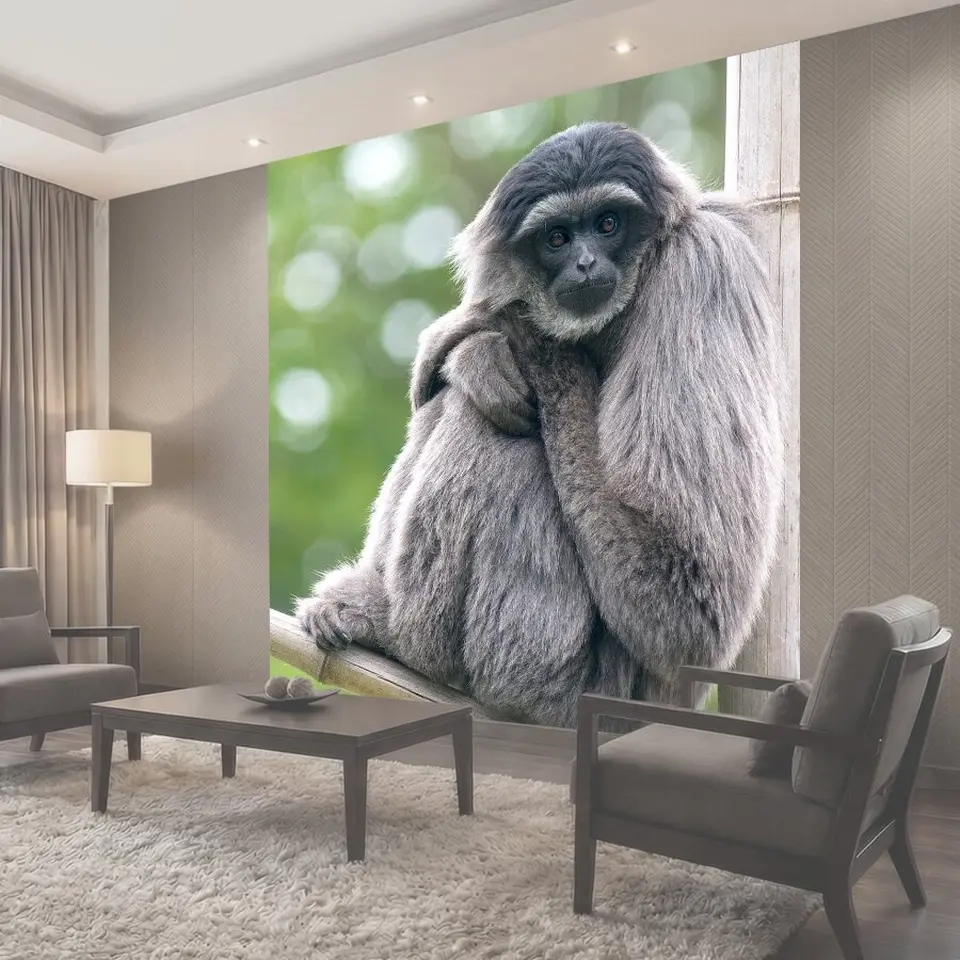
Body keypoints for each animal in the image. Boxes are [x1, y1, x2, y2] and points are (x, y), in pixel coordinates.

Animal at [296, 121, 785, 727]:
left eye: (607, 224)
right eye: (556, 238)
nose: (584, 263)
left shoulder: (704, 270)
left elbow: (690, 608)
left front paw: (498, 331)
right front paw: (470, 343)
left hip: (561, 676)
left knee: (492, 428)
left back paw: (401, 636)